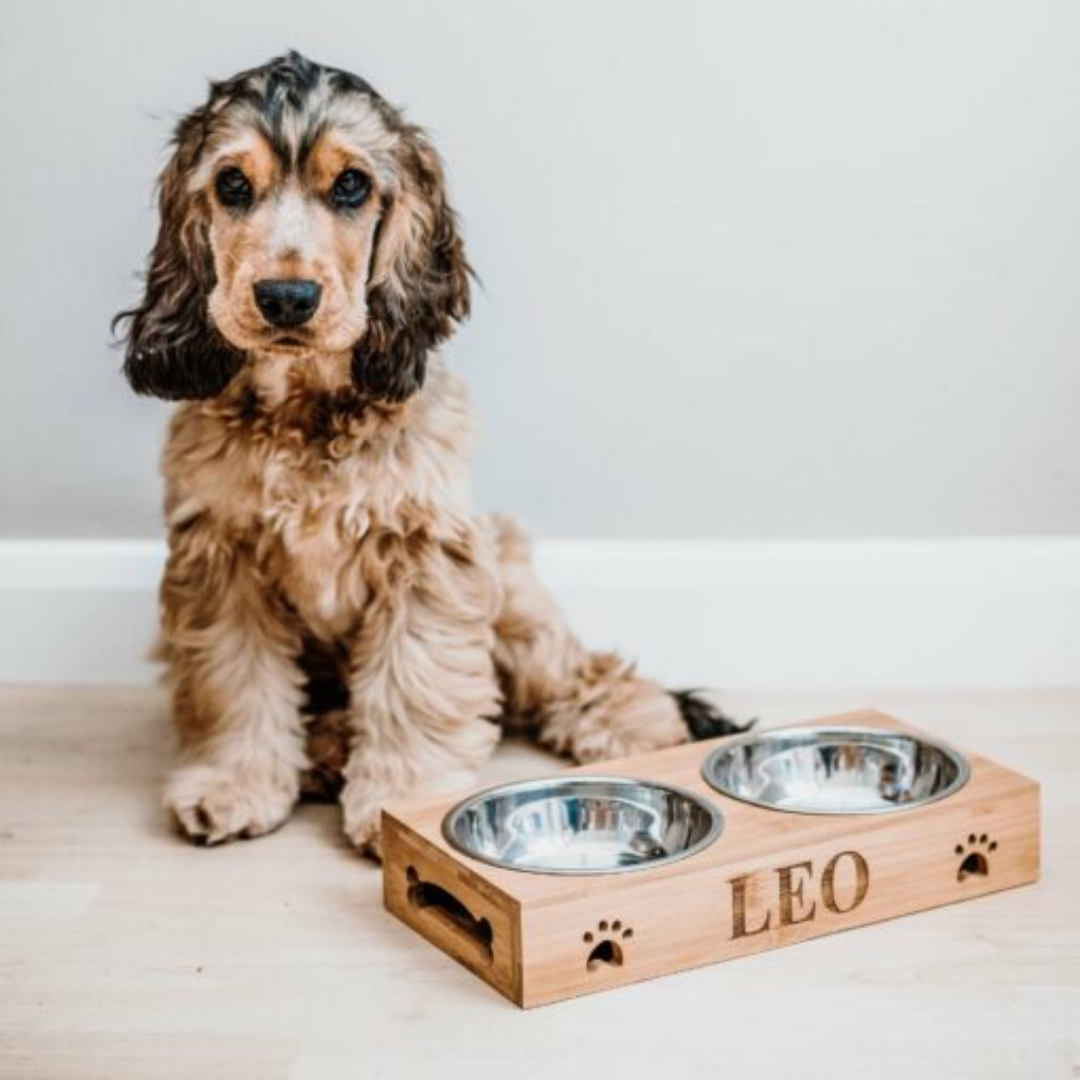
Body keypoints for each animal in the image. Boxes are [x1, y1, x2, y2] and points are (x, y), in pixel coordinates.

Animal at [118, 50, 743, 855]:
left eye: (351, 184)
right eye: (231, 184)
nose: (286, 297)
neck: (306, 411)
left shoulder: (425, 556)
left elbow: (414, 685)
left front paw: (400, 803)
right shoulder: (218, 562)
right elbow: (235, 683)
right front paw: (234, 784)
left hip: (512, 590)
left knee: (583, 670)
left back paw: (637, 722)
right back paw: (324, 750)